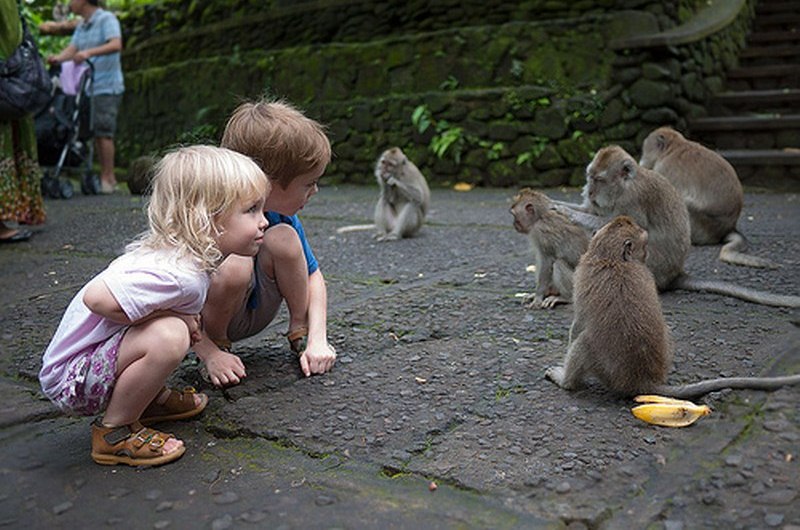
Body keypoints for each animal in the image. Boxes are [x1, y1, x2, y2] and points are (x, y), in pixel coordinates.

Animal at [544, 214, 800, 396]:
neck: (611, 257)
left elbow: (578, 323)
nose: (646, 255)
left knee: (583, 342)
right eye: (644, 244)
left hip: (602, 367)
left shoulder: (582, 277)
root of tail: (642, 380)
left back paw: (565, 381)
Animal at [552, 144, 800, 308]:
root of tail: (674, 274)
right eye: (589, 177)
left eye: (600, 180)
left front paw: (567, 212)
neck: (625, 186)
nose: (589, 192)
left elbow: (629, 229)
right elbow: (593, 213)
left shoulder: (633, 200)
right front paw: (556, 203)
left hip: (652, 268)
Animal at [636, 126, 776, 268]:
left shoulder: (663, 168)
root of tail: (728, 228)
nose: (640, 161)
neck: (673, 147)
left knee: (685, 204)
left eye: (644, 150)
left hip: (704, 225)